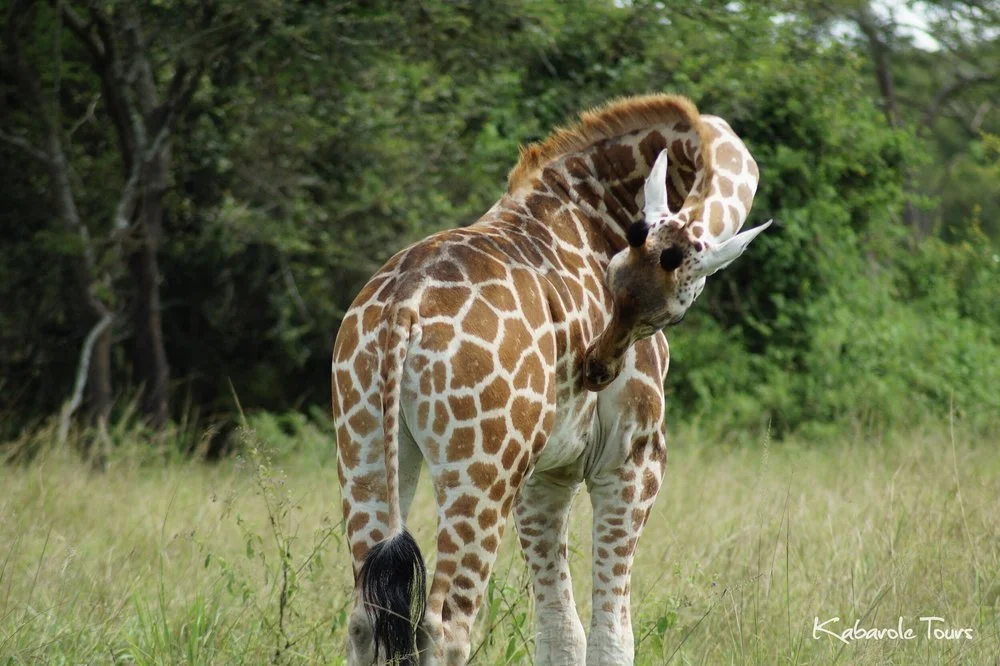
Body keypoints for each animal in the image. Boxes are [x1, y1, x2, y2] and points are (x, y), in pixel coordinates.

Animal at [331, 94, 768, 666]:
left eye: (665, 312)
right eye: (612, 281)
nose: (596, 369)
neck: (593, 201)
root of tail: (402, 307)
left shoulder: (547, 473)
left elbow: (560, 634)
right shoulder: (630, 460)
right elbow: (612, 636)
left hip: (364, 443)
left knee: (367, 616)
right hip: (481, 466)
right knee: (443, 624)